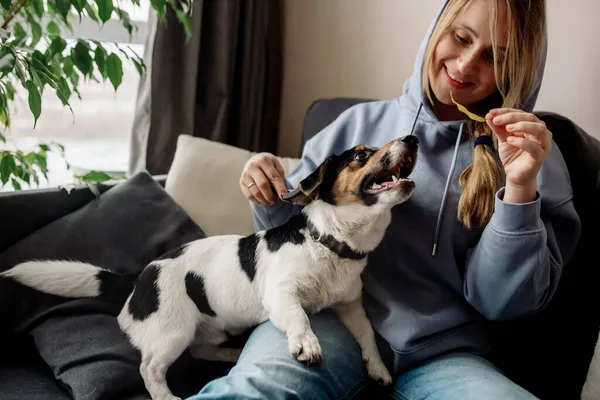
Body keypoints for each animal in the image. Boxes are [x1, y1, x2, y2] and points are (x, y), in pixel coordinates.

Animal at [1, 135, 418, 400]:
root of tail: (139, 278)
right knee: (150, 370)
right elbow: (301, 318)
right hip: (173, 332)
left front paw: (378, 369)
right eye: (360, 156)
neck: (329, 242)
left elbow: (367, 337)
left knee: (202, 352)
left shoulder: (351, 306)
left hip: (205, 330)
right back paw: (167, 397)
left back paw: (231, 354)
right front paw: (307, 343)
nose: (412, 139)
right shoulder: (282, 294)